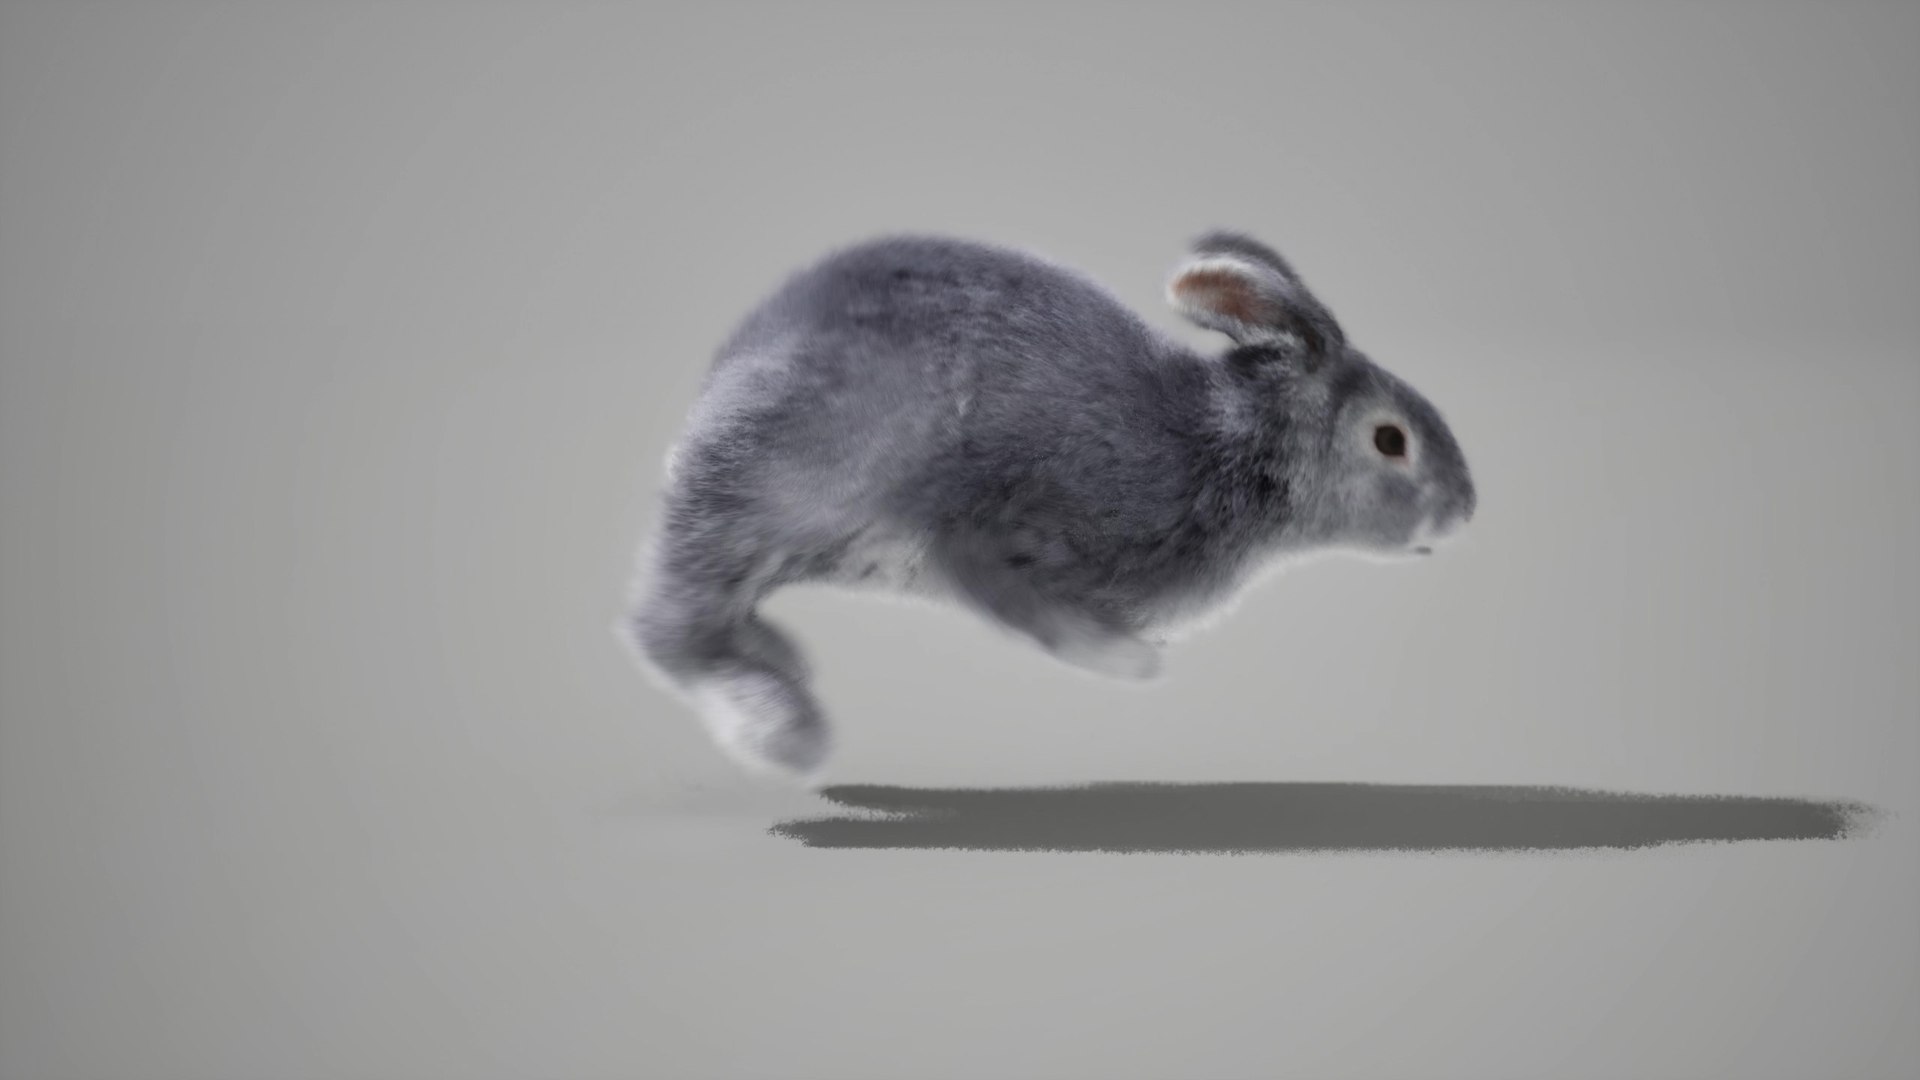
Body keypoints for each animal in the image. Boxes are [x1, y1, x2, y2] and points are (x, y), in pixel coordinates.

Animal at [619, 230, 1476, 784]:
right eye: (1391, 440)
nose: (1466, 509)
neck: (1236, 451)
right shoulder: (997, 539)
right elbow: (1035, 608)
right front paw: (1131, 661)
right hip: (777, 493)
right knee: (669, 628)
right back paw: (779, 725)